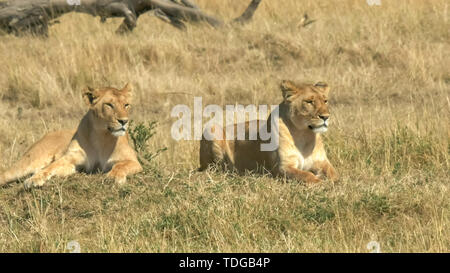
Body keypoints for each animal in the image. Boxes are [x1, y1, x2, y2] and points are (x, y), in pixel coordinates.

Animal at [0, 84, 142, 188]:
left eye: (126, 105)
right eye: (109, 105)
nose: (124, 121)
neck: (101, 135)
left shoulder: (133, 161)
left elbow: (120, 165)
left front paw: (112, 177)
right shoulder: (72, 159)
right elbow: (51, 167)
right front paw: (34, 179)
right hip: (29, 162)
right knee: (5, 175)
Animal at [200, 79, 338, 184]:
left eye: (325, 101)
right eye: (309, 102)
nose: (326, 117)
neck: (304, 134)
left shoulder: (322, 162)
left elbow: (334, 174)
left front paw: (334, 181)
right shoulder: (282, 167)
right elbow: (306, 175)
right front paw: (320, 182)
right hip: (213, 129)